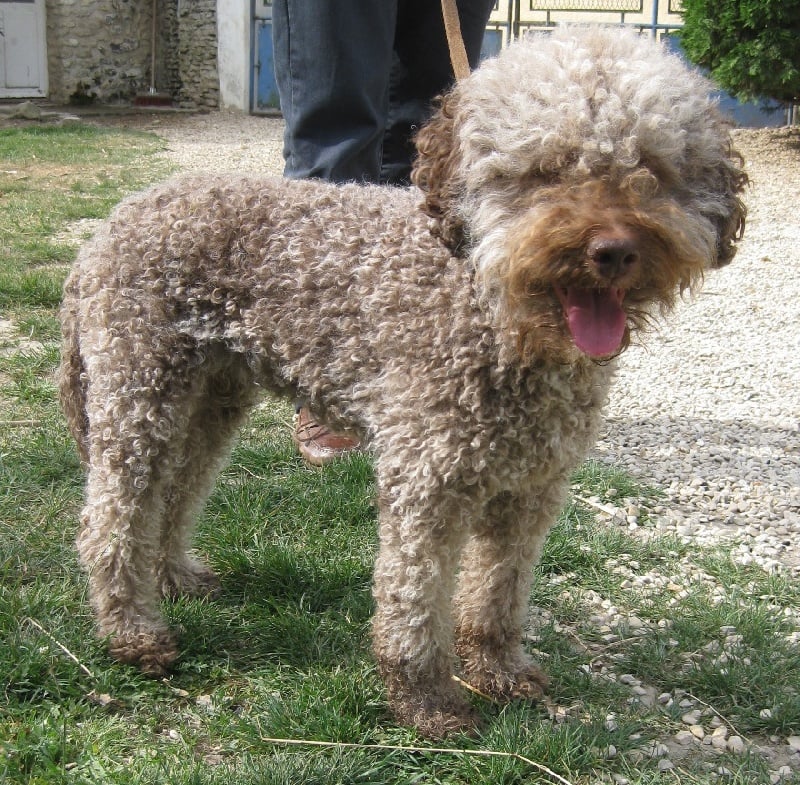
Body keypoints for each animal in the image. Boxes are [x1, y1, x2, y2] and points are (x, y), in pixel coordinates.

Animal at [57, 24, 744, 736]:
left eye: (654, 170)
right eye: (543, 170)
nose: (612, 250)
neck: (495, 317)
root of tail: (107, 229)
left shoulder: (532, 487)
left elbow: (498, 593)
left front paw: (497, 670)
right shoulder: (428, 480)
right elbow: (415, 603)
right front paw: (427, 702)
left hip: (208, 400)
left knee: (174, 492)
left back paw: (173, 578)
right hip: (139, 393)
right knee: (109, 521)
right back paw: (132, 633)